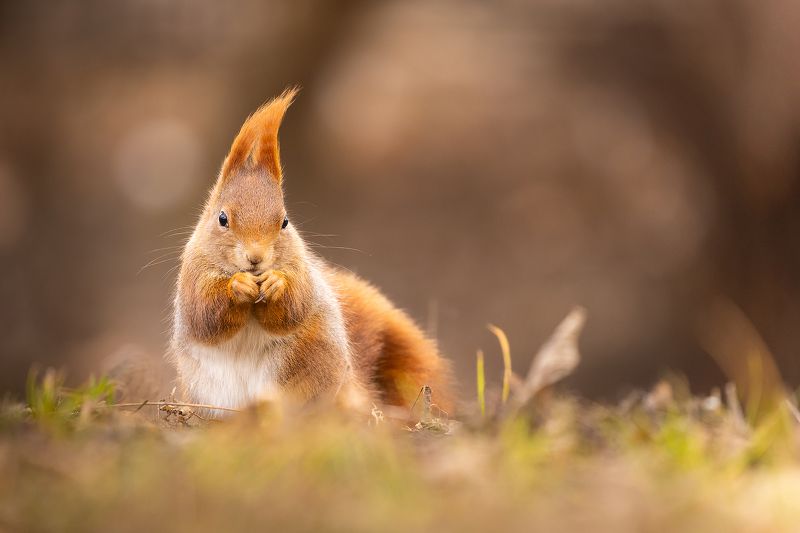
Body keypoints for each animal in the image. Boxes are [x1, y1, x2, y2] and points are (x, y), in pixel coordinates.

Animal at [170, 88, 452, 417]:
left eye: (285, 222)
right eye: (222, 218)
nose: (256, 258)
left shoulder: (301, 272)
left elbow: (294, 307)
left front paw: (277, 284)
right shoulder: (192, 275)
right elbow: (205, 314)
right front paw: (237, 286)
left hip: (302, 364)